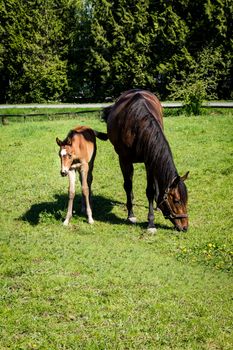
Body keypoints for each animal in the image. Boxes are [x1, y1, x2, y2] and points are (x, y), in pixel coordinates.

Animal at [103, 89, 188, 232]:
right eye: (176, 201)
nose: (185, 226)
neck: (137, 126)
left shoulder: (150, 162)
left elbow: (150, 190)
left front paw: (151, 222)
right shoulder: (124, 160)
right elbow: (128, 185)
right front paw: (131, 215)